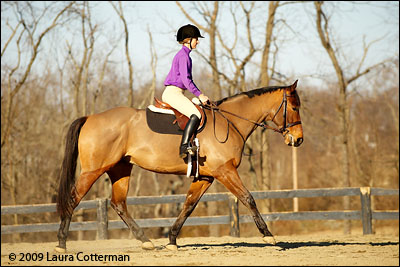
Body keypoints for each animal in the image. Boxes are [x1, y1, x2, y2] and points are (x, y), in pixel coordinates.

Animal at [55, 79, 304, 253]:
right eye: (294, 107)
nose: (299, 140)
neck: (230, 122)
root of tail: (90, 117)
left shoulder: (206, 177)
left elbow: (188, 205)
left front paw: (172, 240)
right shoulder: (225, 171)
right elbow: (248, 198)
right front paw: (268, 235)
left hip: (120, 169)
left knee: (118, 204)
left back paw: (145, 241)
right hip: (93, 170)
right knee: (73, 199)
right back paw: (61, 243)